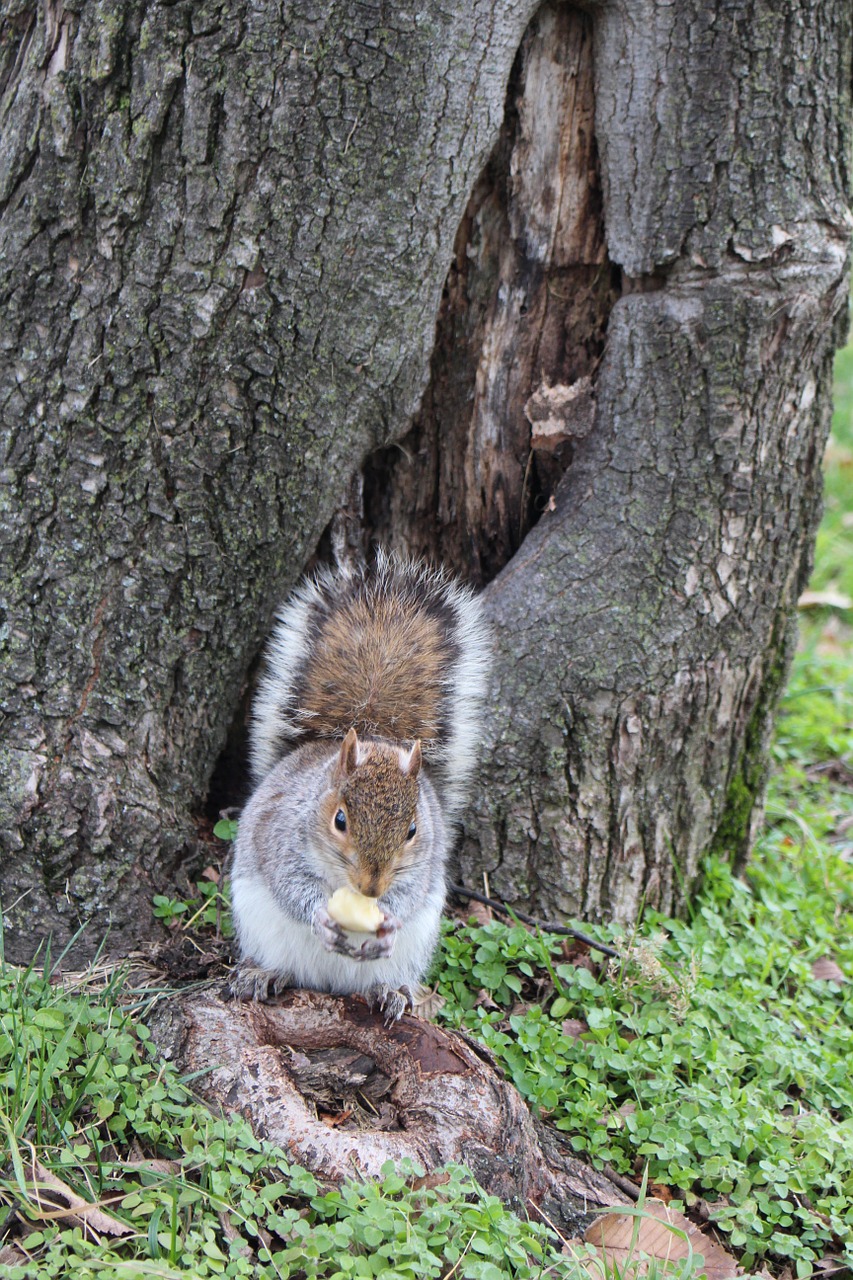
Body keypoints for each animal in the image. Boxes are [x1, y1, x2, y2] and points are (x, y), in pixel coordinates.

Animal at [229, 550, 489, 1018]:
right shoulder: (281, 838)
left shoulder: (420, 868)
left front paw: (389, 918)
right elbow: (291, 886)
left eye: (412, 830)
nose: (371, 888)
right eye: (340, 821)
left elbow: (409, 894)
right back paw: (263, 973)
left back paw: (390, 991)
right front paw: (319, 915)